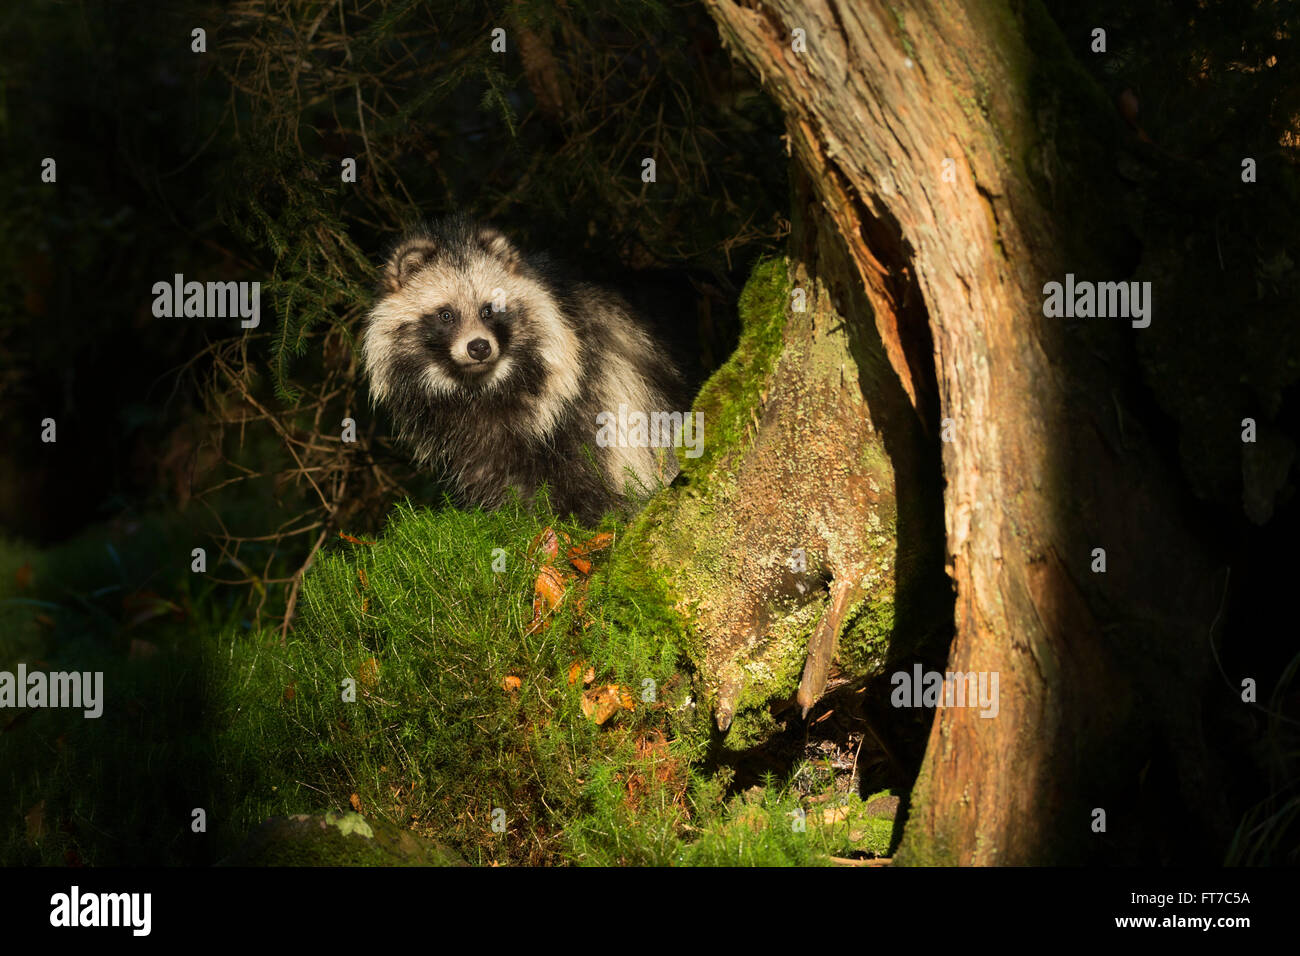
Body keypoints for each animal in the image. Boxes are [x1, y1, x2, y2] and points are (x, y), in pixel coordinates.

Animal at [364, 218, 686, 522]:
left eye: (489, 310)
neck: (480, 387)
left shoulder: (580, 386)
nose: (479, 347)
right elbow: (487, 469)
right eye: (446, 315)